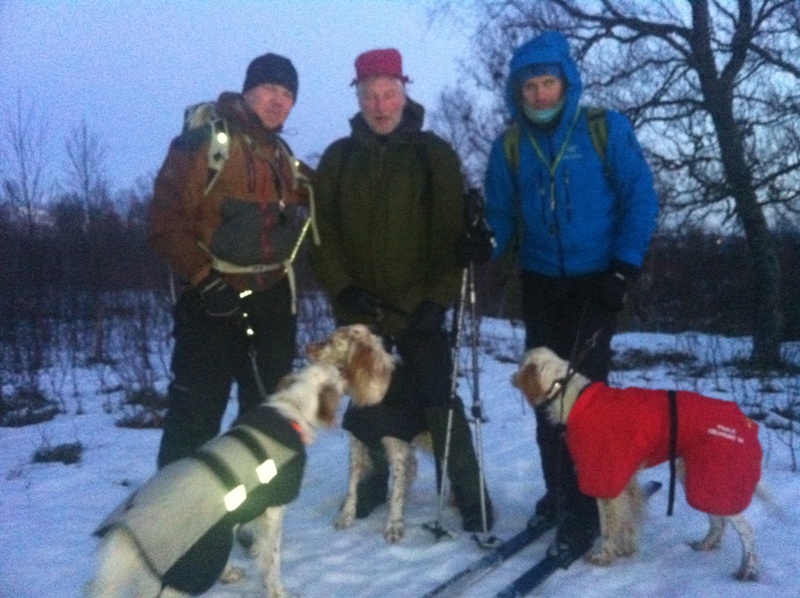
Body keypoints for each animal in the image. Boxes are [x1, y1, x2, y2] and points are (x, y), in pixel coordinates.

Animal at [87, 328, 394, 598]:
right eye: (339, 372)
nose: (346, 372)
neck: (289, 407)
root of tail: (122, 536)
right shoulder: (272, 511)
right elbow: (272, 560)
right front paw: (277, 591)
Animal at [512, 346, 764, 580]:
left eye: (521, 363)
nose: (511, 377)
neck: (574, 398)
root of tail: (746, 423)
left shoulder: (604, 480)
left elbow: (608, 526)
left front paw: (604, 556)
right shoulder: (624, 481)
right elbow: (627, 519)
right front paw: (627, 549)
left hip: (713, 480)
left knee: (748, 530)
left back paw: (747, 571)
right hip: (698, 480)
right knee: (718, 522)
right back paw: (706, 545)